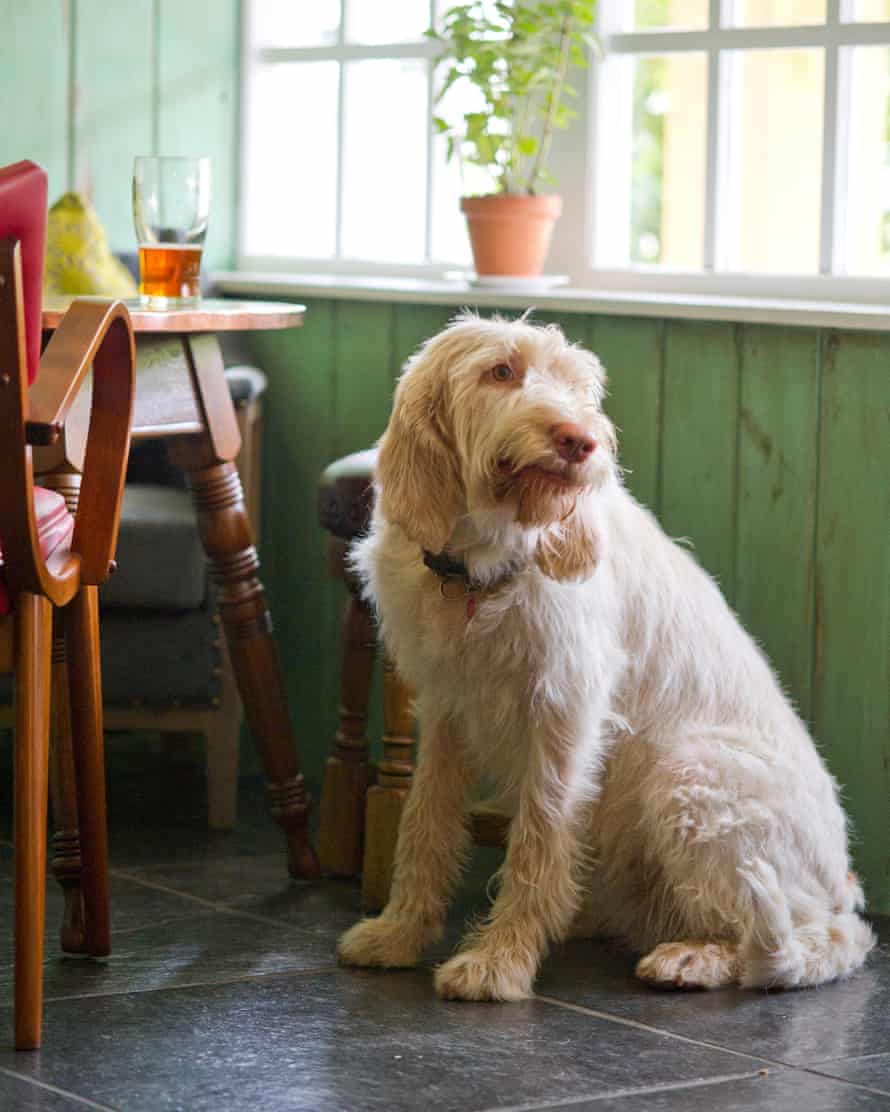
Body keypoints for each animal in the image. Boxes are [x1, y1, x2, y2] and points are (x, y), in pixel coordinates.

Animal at [338, 311, 872, 1000]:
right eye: (501, 370)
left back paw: (695, 957)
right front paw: (399, 933)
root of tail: (844, 892)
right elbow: (424, 824)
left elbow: (537, 840)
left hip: (688, 775)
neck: (486, 566)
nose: (580, 440)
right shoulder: (446, 709)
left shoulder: (563, 713)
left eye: (577, 386)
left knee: (777, 939)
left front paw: (500, 961)